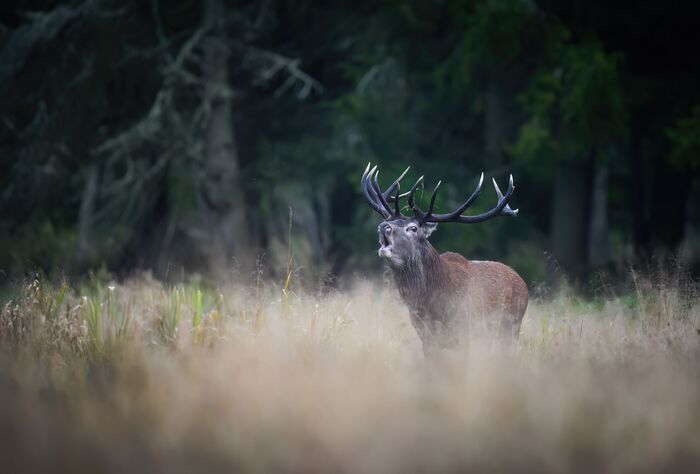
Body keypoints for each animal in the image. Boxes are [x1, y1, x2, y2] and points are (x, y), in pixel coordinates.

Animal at [360, 163, 528, 353]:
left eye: (413, 228)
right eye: (389, 219)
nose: (383, 226)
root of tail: (523, 283)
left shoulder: (464, 330)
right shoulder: (425, 336)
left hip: (510, 327)